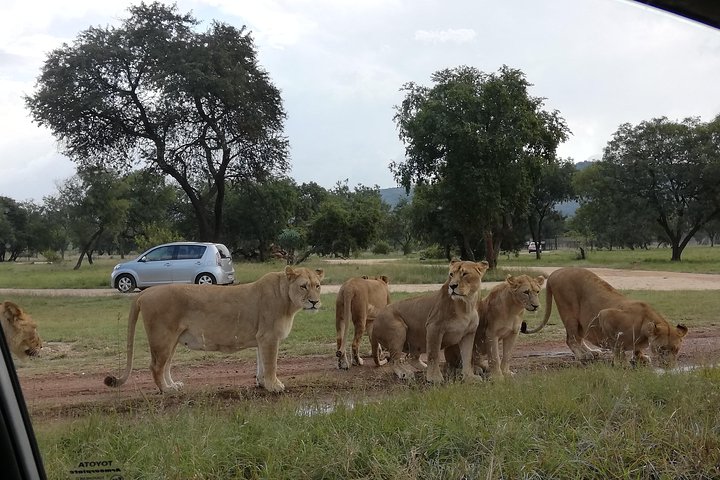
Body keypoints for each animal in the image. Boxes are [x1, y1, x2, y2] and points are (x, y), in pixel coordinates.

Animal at [104, 266, 324, 393]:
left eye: (318, 286)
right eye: (304, 286)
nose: (315, 302)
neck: (287, 299)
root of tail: (145, 293)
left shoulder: (261, 339)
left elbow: (262, 364)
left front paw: (262, 384)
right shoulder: (269, 337)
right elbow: (271, 364)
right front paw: (275, 386)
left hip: (171, 340)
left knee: (165, 365)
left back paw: (172, 385)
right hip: (162, 338)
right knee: (156, 366)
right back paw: (166, 390)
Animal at [520, 267, 687, 368]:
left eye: (676, 350)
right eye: (661, 349)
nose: (669, 367)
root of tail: (556, 272)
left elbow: (636, 349)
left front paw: (640, 357)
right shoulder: (605, 314)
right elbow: (617, 345)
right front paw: (621, 362)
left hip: (582, 321)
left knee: (578, 338)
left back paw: (592, 352)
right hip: (569, 312)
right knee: (571, 339)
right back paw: (583, 356)